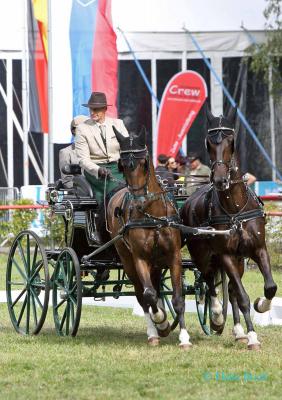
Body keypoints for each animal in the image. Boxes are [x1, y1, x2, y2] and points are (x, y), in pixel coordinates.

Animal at [106, 126, 192, 348]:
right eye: (122, 166)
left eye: (144, 163)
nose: (138, 202)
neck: (152, 215)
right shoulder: (140, 258)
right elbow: (149, 295)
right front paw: (161, 321)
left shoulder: (173, 257)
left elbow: (178, 299)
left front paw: (184, 337)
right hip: (128, 260)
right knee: (141, 294)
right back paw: (154, 332)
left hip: (157, 262)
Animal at [181, 107, 278, 350]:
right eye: (209, 142)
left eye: (230, 140)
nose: (220, 180)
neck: (235, 208)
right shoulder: (224, 254)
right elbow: (242, 296)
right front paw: (253, 337)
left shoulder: (258, 249)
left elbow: (270, 287)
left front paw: (261, 306)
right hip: (202, 254)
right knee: (208, 282)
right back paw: (216, 316)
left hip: (238, 258)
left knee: (231, 289)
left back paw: (238, 331)